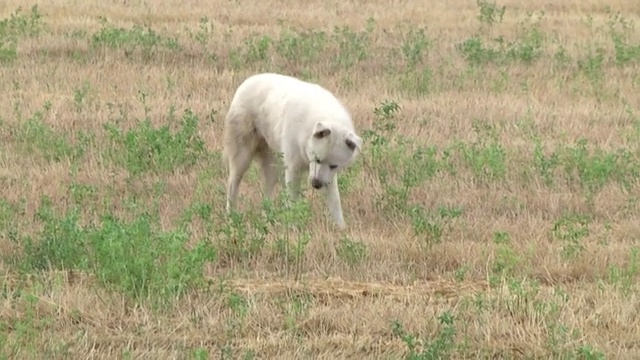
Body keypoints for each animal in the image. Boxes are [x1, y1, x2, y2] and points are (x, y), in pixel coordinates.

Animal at [221, 73, 362, 228]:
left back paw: (268, 220)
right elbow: (293, 202)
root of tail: (245, 82)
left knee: (266, 193)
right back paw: (231, 218)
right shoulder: (293, 169)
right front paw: (293, 227)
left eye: (334, 166)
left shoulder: (328, 177)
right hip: (243, 157)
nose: (316, 184)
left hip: (273, 166)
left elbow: (335, 203)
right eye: (317, 159)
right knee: (232, 186)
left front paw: (341, 229)